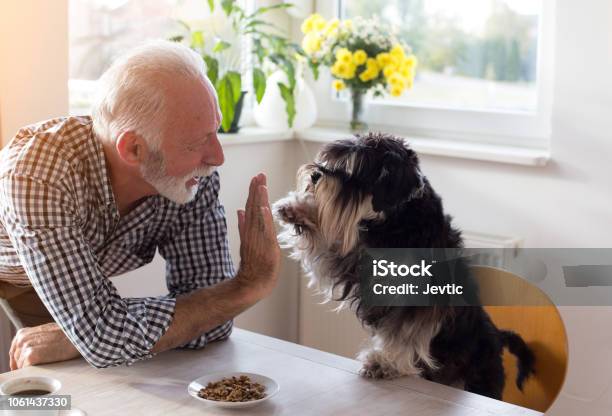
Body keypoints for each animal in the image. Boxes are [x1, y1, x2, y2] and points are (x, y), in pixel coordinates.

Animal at [274, 132, 536, 400]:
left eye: (355, 170)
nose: (315, 175)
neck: (398, 220)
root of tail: (497, 336)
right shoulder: (351, 263)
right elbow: (327, 244)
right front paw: (296, 208)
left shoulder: (418, 299)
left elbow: (405, 334)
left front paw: (383, 363)